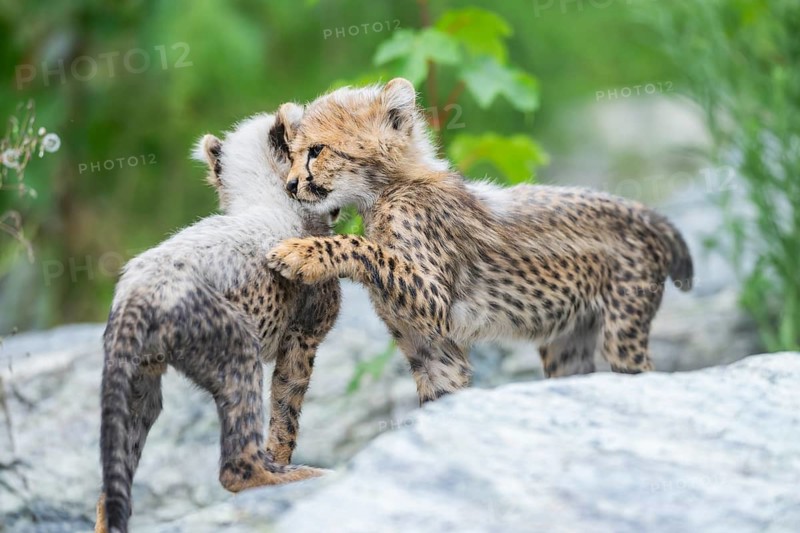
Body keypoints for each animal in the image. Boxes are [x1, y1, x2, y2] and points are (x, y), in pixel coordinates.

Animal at [266, 78, 693, 406]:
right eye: (292, 154)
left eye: (316, 150)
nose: (290, 185)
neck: (387, 190)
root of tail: (644, 211)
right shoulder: (431, 349)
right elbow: (440, 398)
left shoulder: (434, 302)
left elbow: (362, 246)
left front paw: (301, 253)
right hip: (567, 343)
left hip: (621, 332)